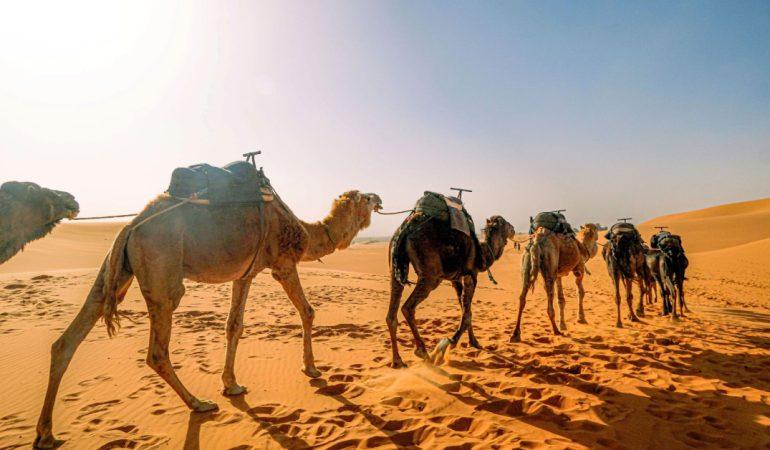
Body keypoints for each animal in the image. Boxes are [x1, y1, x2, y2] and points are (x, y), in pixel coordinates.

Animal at [35, 186, 382, 449]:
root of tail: (131, 226)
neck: (305, 232)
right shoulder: (282, 263)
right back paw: (198, 403)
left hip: (115, 269)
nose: (379, 198)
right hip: (162, 272)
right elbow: (308, 311)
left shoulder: (246, 273)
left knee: (67, 339)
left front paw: (232, 384)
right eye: (364, 197)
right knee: (157, 350)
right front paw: (311, 368)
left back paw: (45, 433)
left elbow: (234, 325)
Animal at [387, 214, 515, 368]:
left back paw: (397, 360)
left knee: (391, 314)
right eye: (505, 223)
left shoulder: (456, 279)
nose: (514, 229)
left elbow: (465, 309)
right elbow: (467, 314)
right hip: (431, 276)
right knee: (407, 307)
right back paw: (423, 352)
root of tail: (405, 230)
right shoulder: (471, 275)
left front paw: (474, 342)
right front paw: (449, 342)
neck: (483, 253)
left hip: (396, 266)